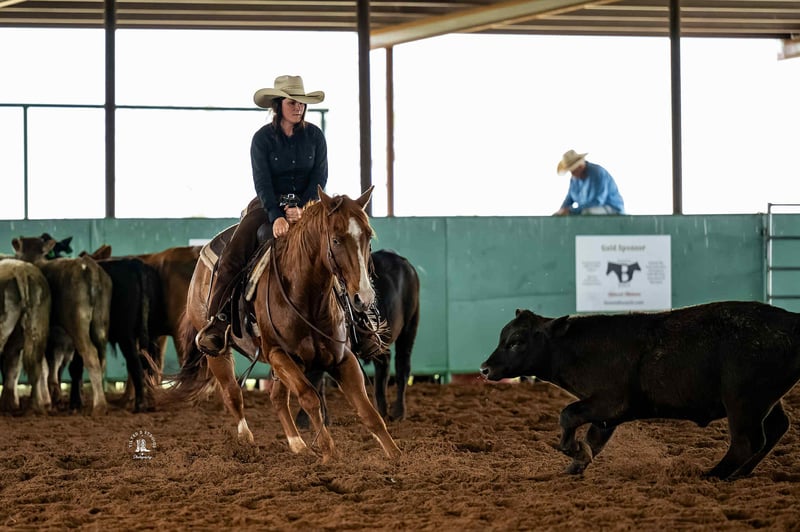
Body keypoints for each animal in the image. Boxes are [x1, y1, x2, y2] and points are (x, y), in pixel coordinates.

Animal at [13, 236, 113, 415]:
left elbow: (44, 365)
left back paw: (99, 406)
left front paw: (45, 400)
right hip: (101, 324)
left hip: (78, 326)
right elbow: (55, 366)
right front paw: (55, 397)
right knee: (101, 358)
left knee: (90, 356)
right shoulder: (60, 340)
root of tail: (90, 266)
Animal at [166, 186, 401, 463]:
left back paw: (297, 444)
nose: (363, 298)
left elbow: (367, 411)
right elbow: (309, 397)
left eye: (368, 236)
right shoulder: (278, 353)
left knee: (276, 397)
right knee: (232, 394)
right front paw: (329, 453)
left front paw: (397, 456)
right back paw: (247, 441)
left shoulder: (342, 358)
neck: (307, 298)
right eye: (336, 240)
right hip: (218, 353)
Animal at [479, 301, 800, 480]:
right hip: (764, 400)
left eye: (516, 342)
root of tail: (790, 320)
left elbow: (567, 415)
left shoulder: (610, 402)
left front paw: (574, 451)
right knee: (775, 429)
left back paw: (713, 474)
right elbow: (594, 439)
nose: (484, 368)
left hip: (742, 400)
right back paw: (740, 473)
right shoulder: (605, 415)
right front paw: (576, 464)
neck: (577, 349)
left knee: (747, 441)